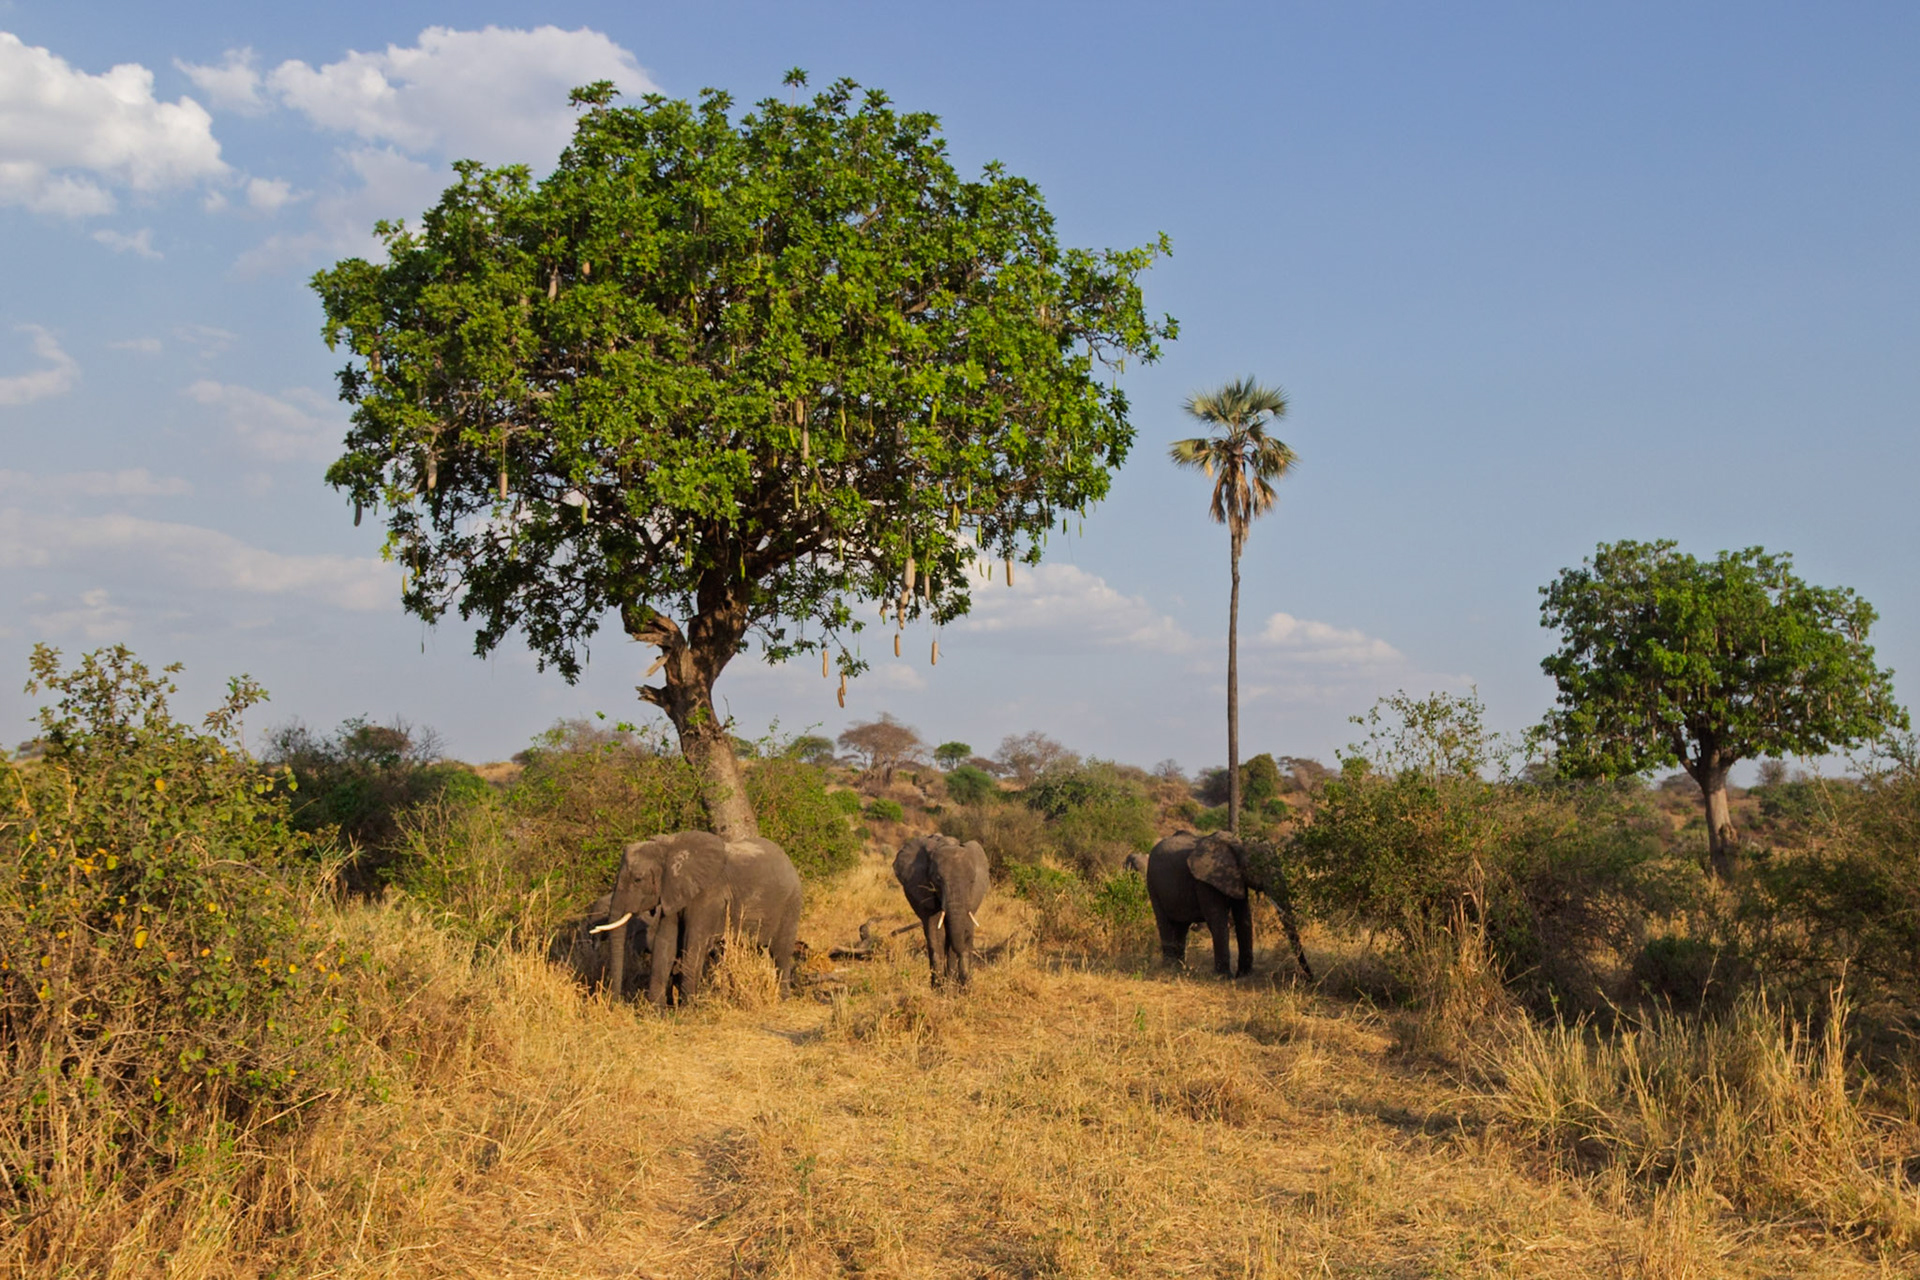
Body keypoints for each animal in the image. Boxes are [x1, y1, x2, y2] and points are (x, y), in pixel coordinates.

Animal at [595, 831, 804, 1006]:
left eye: (638, 879)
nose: (615, 1004)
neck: (670, 848)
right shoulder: (672, 892)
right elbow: (665, 944)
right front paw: (656, 1011)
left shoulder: (709, 895)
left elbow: (693, 944)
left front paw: (689, 1009)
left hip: (791, 904)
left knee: (780, 953)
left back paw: (782, 1000)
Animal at [893, 834, 991, 986]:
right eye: (938, 879)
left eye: (972, 881)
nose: (965, 980)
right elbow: (935, 931)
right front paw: (940, 986)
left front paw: (955, 985)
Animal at [1146, 831, 1313, 980]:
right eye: (1260, 867)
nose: (1310, 978)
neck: (1240, 844)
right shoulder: (1204, 882)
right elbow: (1218, 920)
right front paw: (1225, 977)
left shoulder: (1237, 878)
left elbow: (1244, 918)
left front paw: (1244, 975)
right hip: (1153, 884)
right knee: (1164, 923)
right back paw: (1169, 968)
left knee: (1182, 926)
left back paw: (1180, 969)